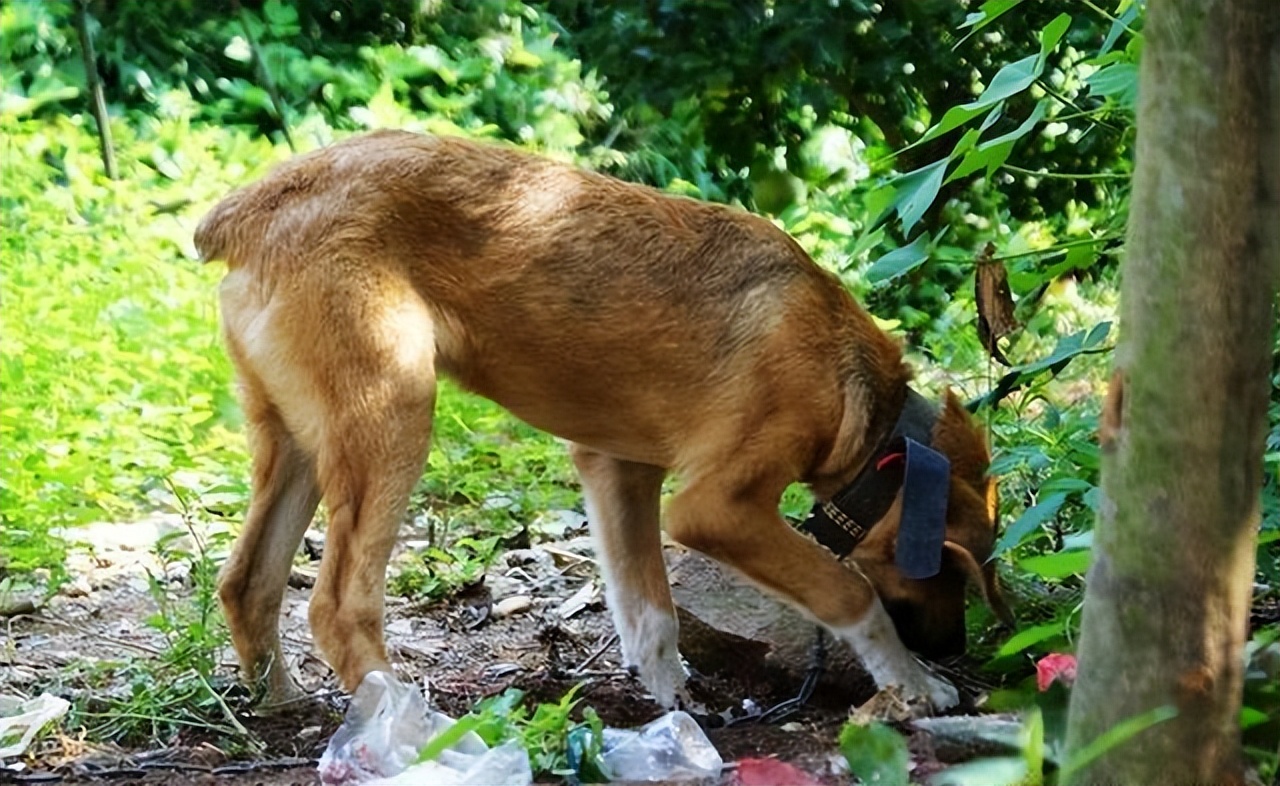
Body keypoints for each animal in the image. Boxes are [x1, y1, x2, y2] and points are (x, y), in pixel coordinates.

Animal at [194, 132, 1008, 716]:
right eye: (953, 573)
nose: (956, 649)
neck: (869, 416)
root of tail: (252, 208)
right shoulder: (717, 508)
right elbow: (849, 593)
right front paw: (915, 683)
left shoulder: (618, 469)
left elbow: (651, 615)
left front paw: (677, 705)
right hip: (392, 414)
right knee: (336, 605)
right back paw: (405, 725)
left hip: (299, 441)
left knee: (248, 581)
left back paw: (281, 706)